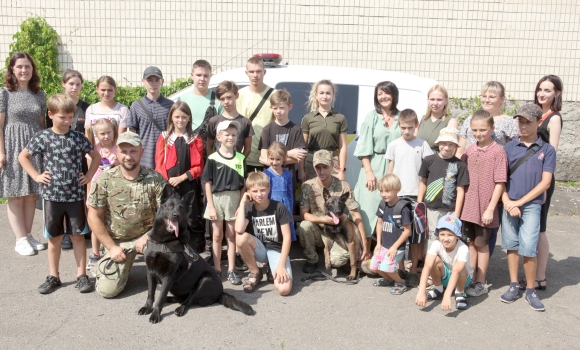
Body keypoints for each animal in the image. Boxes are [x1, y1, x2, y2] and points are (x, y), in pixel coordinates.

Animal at [139, 186, 253, 322]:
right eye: (170, 206)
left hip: (205, 280)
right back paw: (169, 299)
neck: (164, 242)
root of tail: (220, 293)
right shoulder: (150, 272)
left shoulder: (168, 276)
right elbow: (151, 294)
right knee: (180, 298)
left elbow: (160, 298)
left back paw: (180, 309)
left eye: (181, 208)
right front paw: (147, 307)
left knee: (189, 300)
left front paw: (155, 314)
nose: (176, 215)